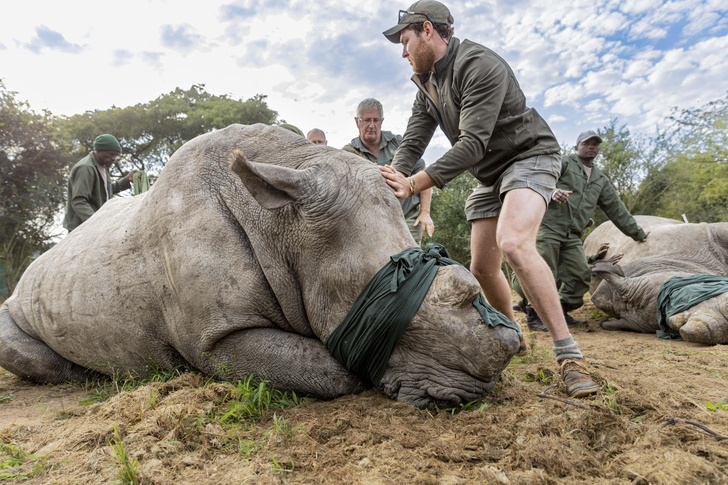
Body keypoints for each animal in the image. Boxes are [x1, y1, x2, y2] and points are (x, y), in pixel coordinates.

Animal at [1, 125, 524, 408]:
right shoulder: (216, 338)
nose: (484, 384)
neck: (282, 221)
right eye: (384, 291)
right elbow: (337, 372)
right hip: (19, 298)